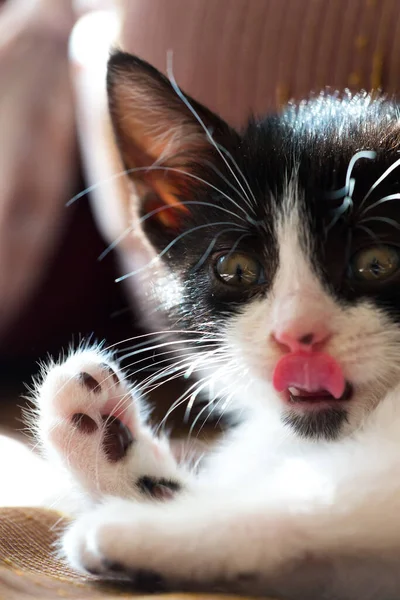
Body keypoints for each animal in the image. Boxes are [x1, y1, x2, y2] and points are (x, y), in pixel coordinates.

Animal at [32, 52, 400, 600]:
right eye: (237, 269)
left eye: (377, 263)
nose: (296, 335)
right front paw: (106, 443)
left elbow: (335, 493)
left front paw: (149, 529)